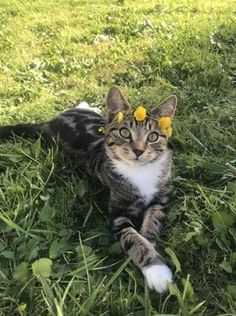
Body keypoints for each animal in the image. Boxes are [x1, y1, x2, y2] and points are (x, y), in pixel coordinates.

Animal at [0, 86, 177, 294]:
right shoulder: (118, 212)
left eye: (153, 137)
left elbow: (153, 221)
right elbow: (132, 237)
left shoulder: (161, 197)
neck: (140, 171)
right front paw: (156, 270)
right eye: (125, 133)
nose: (138, 151)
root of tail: (48, 123)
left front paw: (150, 242)